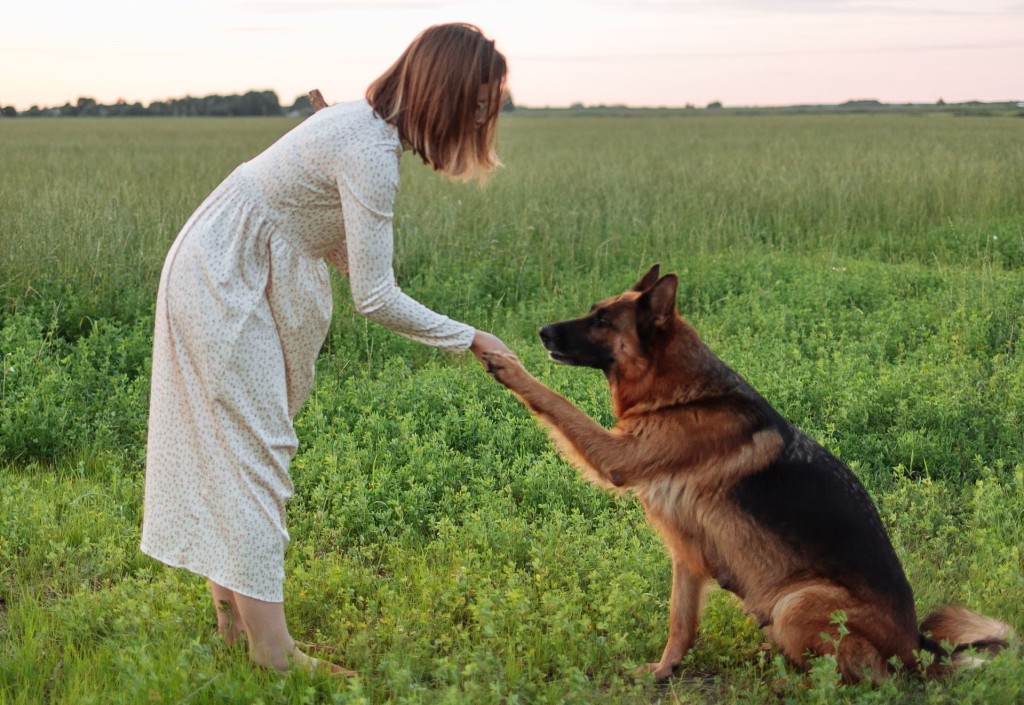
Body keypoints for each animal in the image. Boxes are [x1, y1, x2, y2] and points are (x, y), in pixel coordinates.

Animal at [483, 264, 1011, 684]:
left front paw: (506, 364)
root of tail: (918, 653)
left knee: (859, 676)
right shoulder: (687, 555)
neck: (681, 394)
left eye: (601, 320)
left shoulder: (617, 456)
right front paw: (664, 670)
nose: (541, 331)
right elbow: (680, 622)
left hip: (796, 603)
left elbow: (556, 402)